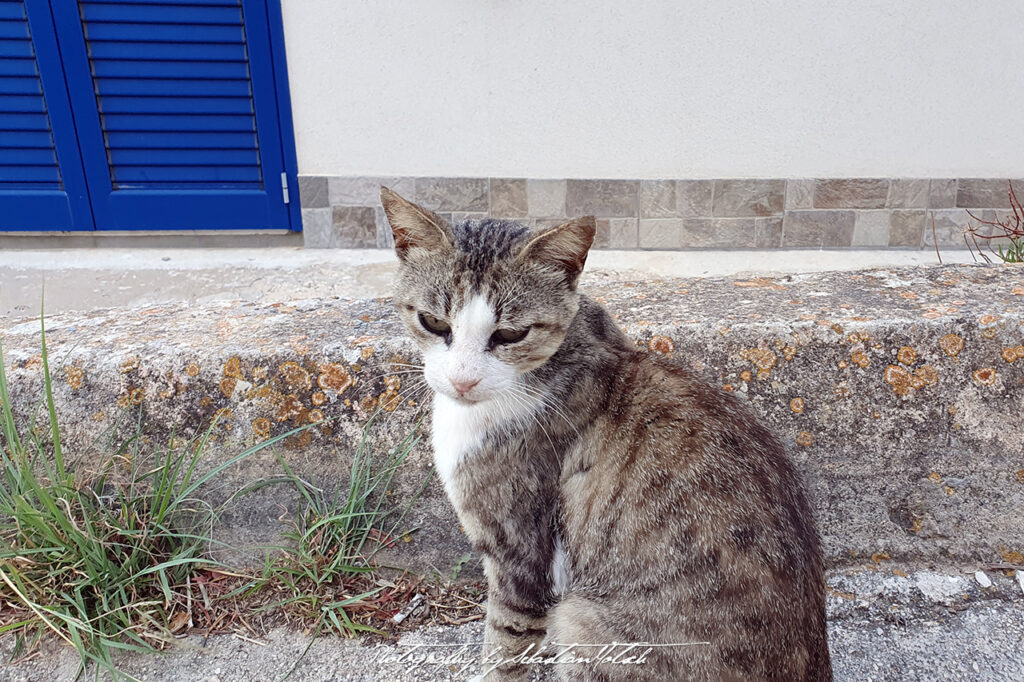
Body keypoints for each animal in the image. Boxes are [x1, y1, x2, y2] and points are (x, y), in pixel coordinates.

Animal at [380, 187, 827, 679]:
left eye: (512, 334)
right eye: (434, 322)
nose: (463, 381)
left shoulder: (522, 556)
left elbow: (505, 643)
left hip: (585, 622)